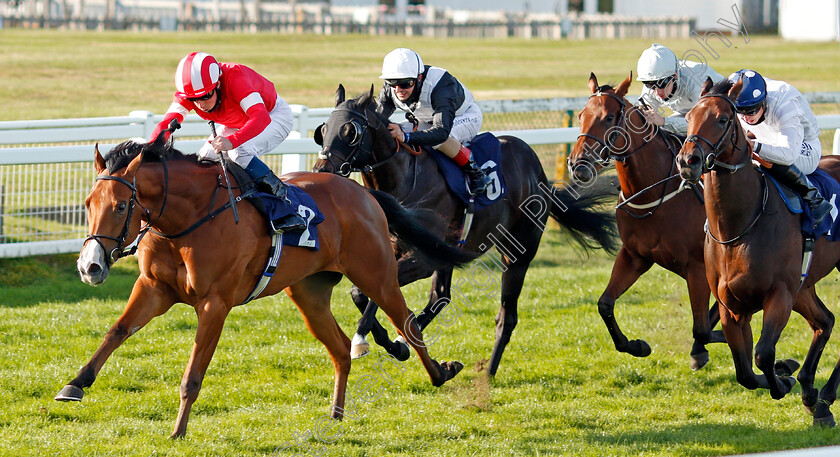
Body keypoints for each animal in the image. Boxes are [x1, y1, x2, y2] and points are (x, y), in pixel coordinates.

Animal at [57, 136, 472, 438]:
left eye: (121, 206)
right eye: (88, 203)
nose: (90, 266)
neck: (187, 220)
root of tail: (363, 193)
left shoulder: (215, 303)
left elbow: (193, 374)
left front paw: (178, 430)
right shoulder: (154, 288)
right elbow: (117, 331)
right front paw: (75, 384)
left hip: (377, 273)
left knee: (407, 322)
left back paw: (439, 372)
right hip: (309, 292)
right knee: (340, 348)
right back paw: (336, 414)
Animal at [312, 83, 620, 376]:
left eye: (350, 131)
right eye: (323, 130)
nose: (322, 169)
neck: (404, 181)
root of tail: (539, 173)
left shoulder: (423, 259)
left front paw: (364, 340)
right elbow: (363, 293)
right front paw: (394, 343)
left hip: (517, 253)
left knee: (506, 317)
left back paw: (489, 372)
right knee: (441, 296)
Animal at [568, 72, 724, 370]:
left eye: (608, 117)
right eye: (581, 115)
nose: (578, 164)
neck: (654, 192)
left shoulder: (697, 267)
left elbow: (703, 328)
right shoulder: (635, 256)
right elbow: (605, 304)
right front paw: (637, 345)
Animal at [676, 77, 840, 424]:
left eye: (723, 118)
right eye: (689, 117)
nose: (687, 161)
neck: (738, 229)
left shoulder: (779, 295)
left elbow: (763, 355)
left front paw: (784, 378)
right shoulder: (732, 307)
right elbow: (745, 373)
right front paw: (790, 374)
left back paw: (823, 396)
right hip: (804, 286)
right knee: (825, 321)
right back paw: (815, 395)